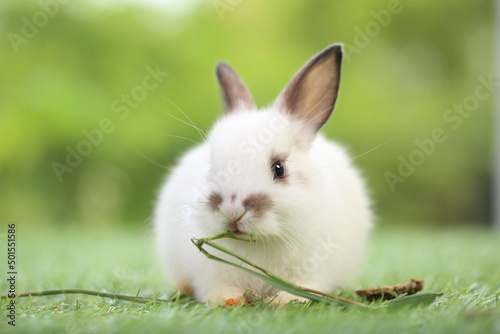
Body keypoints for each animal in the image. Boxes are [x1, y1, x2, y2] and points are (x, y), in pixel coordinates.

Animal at [154, 44, 374, 306]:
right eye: (210, 165)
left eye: (279, 168)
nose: (232, 210)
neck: (259, 243)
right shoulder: (207, 273)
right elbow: (215, 287)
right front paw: (229, 300)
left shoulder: (316, 270)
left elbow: (305, 286)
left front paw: (285, 301)